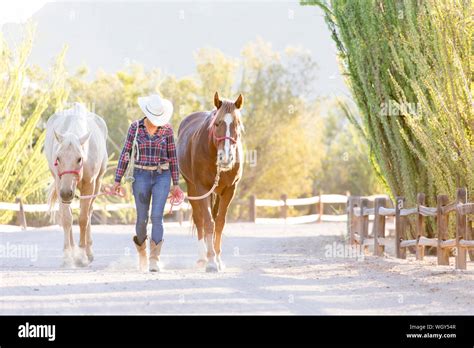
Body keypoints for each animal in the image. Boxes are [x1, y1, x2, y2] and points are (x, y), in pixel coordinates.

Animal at [44, 102, 108, 266]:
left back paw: (88, 251)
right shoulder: (60, 183)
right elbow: (67, 218)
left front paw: (82, 256)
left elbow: (84, 219)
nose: (67, 193)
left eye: (79, 159)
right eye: (58, 158)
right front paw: (68, 255)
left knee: (89, 212)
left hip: (97, 184)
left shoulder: (89, 185)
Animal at [177, 92, 244, 272]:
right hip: (192, 188)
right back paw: (202, 258)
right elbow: (208, 222)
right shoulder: (202, 188)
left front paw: (218, 258)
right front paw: (212, 260)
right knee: (198, 218)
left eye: (237, 124)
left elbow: (219, 222)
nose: (226, 158)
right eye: (217, 123)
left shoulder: (230, 189)